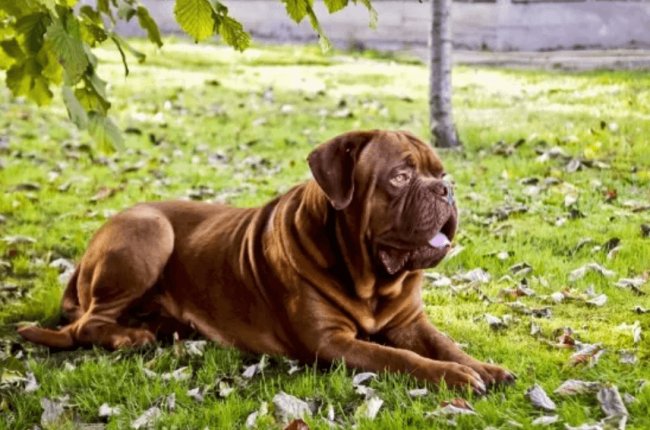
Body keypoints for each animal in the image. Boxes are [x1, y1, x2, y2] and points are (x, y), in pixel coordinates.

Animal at [19, 130, 512, 394]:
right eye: (401, 176)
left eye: (440, 173)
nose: (446, 189)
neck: (371, 278)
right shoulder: (332, 342)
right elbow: (399, 358)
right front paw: (456, 376)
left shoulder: (410, 322)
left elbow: (444, 343)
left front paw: (482, 367)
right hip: (149, 232)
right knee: (83, 326)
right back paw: (128, 337)